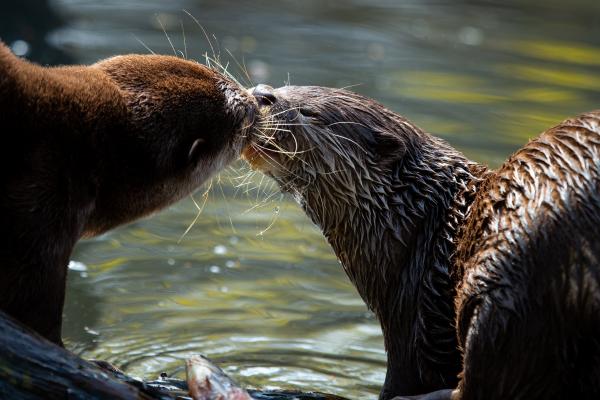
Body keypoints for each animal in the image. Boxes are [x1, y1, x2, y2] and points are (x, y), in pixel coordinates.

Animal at [243, 85, 600, 400]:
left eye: (309, 112)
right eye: (283, 86)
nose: (260, 93)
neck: (426, 228)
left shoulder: (410, 323)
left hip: (511, 269)